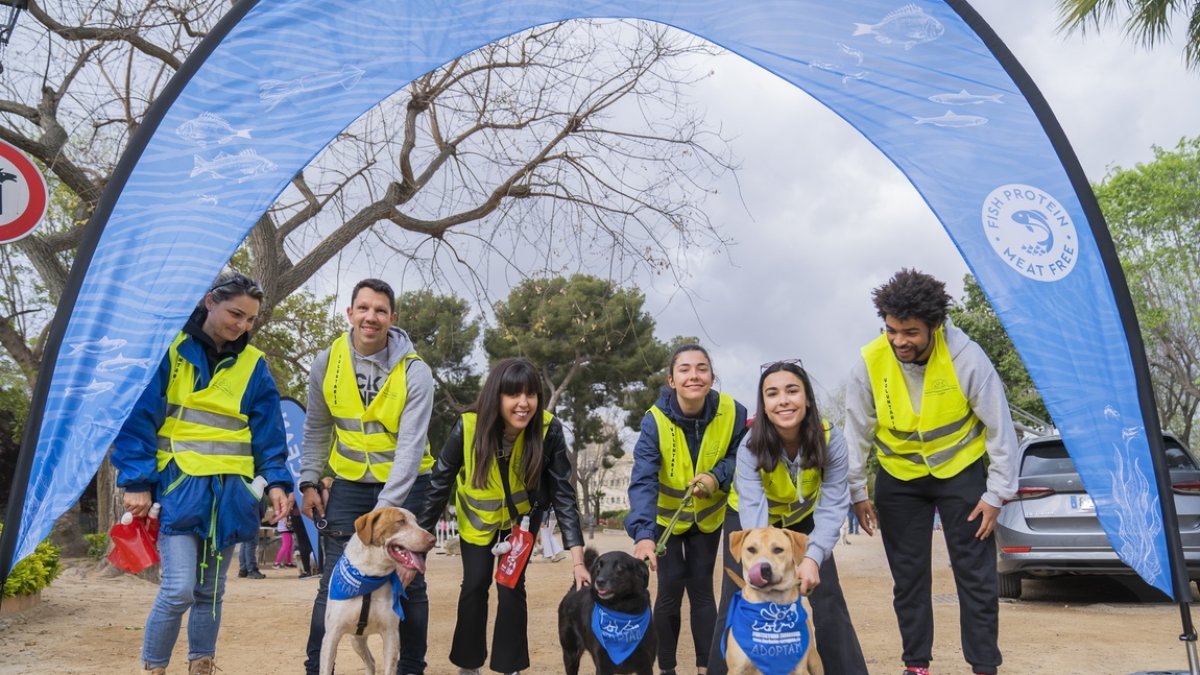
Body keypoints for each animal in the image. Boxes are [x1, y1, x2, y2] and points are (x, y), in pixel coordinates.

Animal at [321, 504, 439, 672]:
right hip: (355, 639)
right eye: (400, 521)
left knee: (371, 662)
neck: (370, 576)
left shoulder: (391, 635)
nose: (433, 540)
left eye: (417, 522)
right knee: (369, 661)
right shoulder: (332, 635)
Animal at [724, 526, 820, 672]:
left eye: (778, 550)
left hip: (814, 661)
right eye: (751, 549)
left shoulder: (800, 669)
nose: (763, 568)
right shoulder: (736, 668)